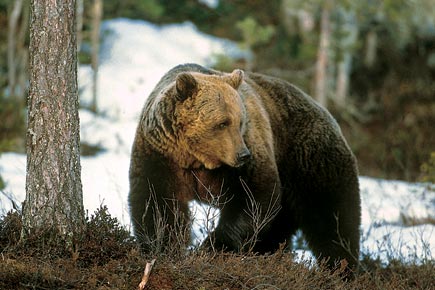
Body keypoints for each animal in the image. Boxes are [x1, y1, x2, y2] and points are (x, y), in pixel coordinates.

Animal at [129, 62, 362, 270]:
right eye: (222, 122)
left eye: (240, 121)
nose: (243, 155)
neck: (197, 159)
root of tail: (328, 114)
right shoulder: (160, 155)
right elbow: (156, 202)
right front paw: (162, 247)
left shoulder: (246, 159)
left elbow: (254, 197)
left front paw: (214, 246)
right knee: (281, 229)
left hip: (311, 163)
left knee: (333, 220)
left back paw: (340, 269)